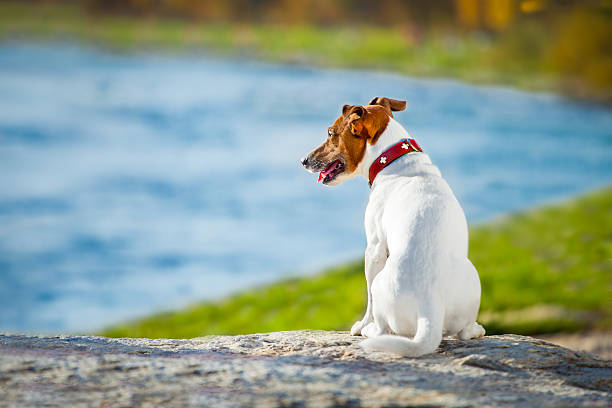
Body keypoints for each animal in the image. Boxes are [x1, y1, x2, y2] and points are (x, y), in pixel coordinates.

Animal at [300, 97, 482, 356]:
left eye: (330, 133)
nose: (303, 160)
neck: (393, 161)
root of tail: (430, 308)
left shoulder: (374, 248)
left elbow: (368, 300)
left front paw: (361, 325)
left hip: (380, 283)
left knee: (382, 326)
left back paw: (369, 330)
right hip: (473, 278)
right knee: (464, 331)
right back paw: (477, 329)